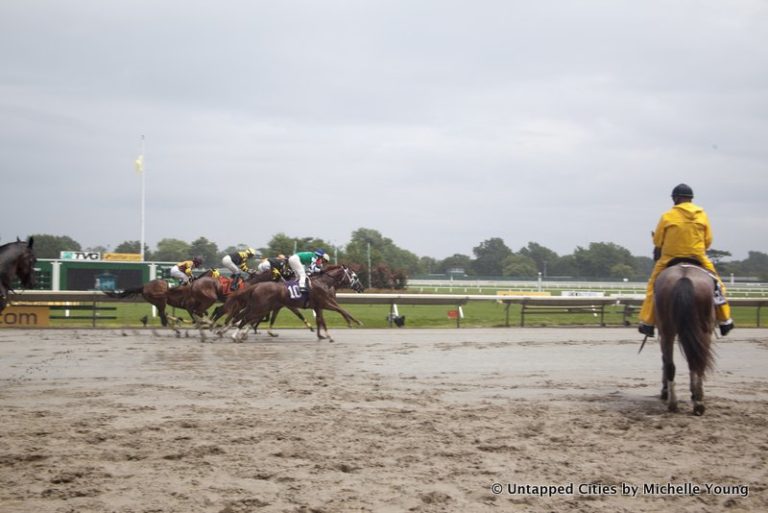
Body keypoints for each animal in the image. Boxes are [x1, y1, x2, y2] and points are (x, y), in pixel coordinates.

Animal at [228, 264, 366, 344]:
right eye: (354, 276)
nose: (362, 288)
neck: (322, 283)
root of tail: (255, 286)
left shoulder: (318, 305)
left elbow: (321, 320)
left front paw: (322, 335)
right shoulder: (324, 303)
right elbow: (340, 310)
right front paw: (354, 322)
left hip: (262, 306)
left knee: (244, 317)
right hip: (261, 306)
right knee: (245, 318)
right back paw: (235, 335)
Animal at [652, 262, 716, 414]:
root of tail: (684, 277)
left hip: (669, 330)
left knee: (676, 363)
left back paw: (680, 402)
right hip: (702, 330)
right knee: (696, 362)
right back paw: (693, 403)